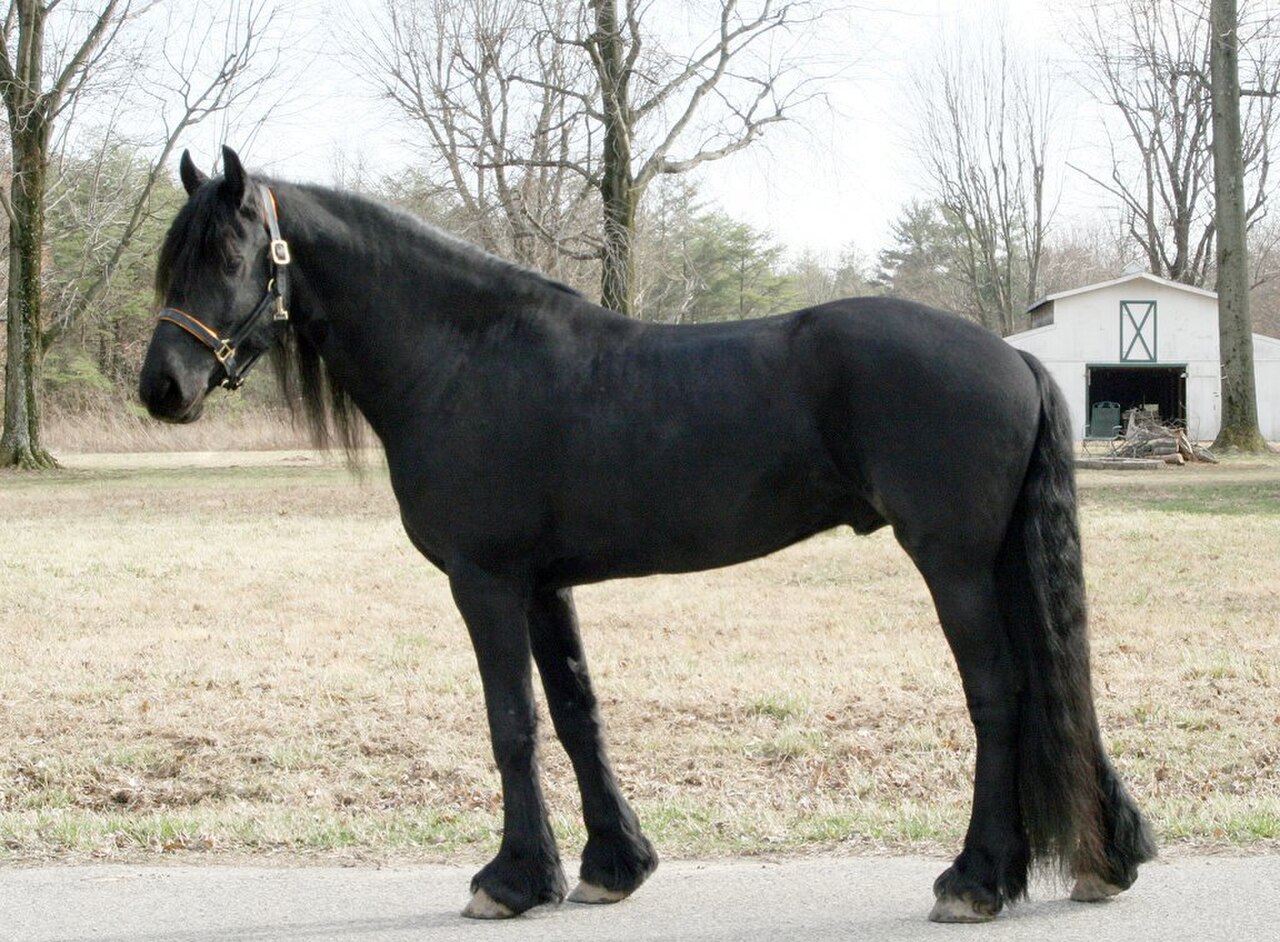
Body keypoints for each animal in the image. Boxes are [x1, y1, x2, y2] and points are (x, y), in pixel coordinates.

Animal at [139, 147, 1155, 922]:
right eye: (173, 259)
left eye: (229, 256)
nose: (162, 388)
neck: (464, 356)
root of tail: (1014, 357)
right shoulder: (544, 585)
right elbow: (576, 713)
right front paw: (609, 866)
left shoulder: (485, 581)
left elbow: (512, 723)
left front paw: (510, 881)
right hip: (997, 562)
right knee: (1058, 683)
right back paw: (1106, 859)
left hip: (954, 563)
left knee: (1001, 694)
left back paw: (974, 880)